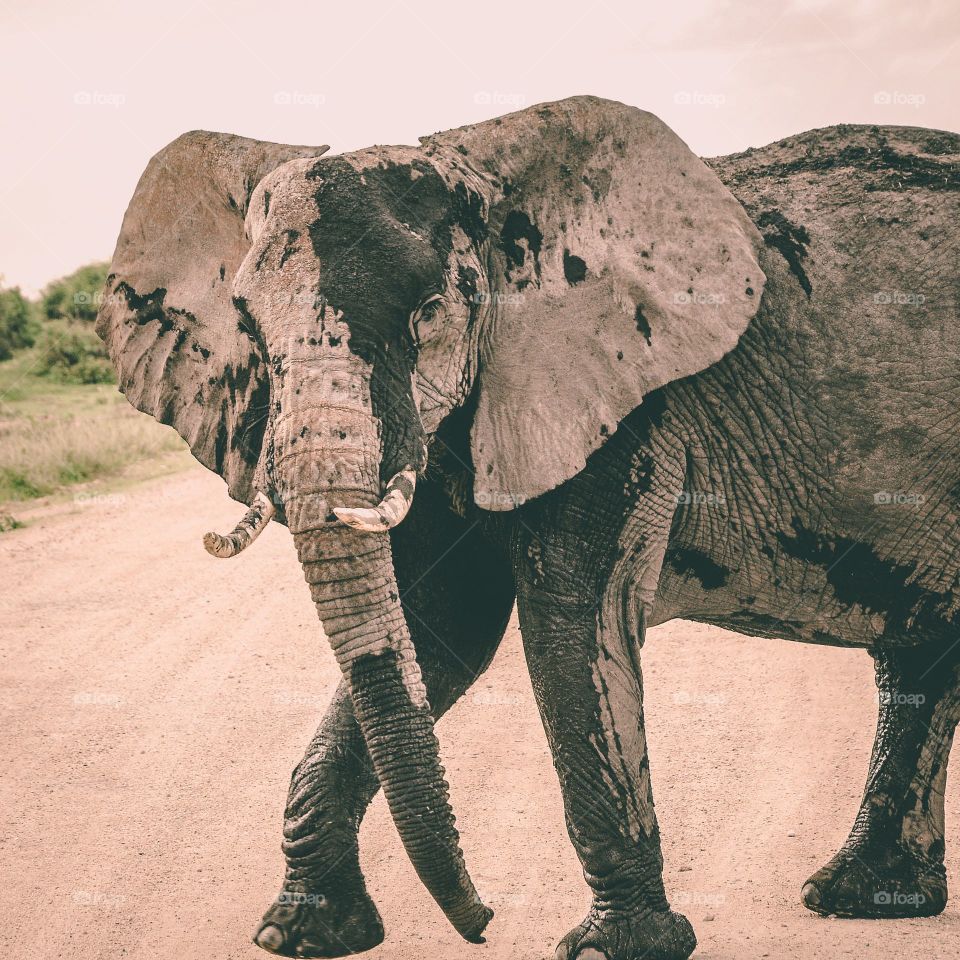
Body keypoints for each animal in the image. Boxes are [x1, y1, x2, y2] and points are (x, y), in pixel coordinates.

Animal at [96, 95, 960, 960]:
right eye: (246, 322)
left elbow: (566, 627)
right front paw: (301, 934)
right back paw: (862, 898)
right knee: (918, 655)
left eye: (430, 314)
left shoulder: (619, 399)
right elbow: (436, 630)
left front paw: (618, 948)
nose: (482, 922)